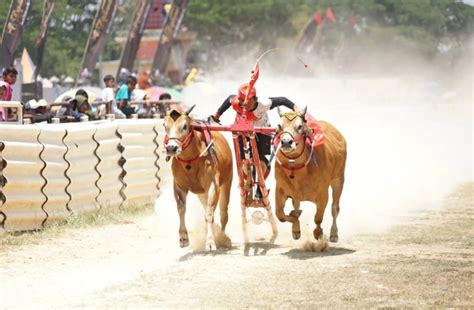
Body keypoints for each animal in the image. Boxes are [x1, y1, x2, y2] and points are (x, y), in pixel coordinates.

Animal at [163, 106, 233, 249]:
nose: (171, 148)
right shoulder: (179, 186)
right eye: (165, 126)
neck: (191, 160)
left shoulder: (213, 186)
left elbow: (210, 213)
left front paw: (210, 241)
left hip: (227, 182)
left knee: (223, 212)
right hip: (202, 193)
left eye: (185, 126)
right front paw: (183, 238)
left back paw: (223, 237)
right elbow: (181, 209)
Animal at [272, 108, 346, 242]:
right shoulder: (280, 189)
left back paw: (334, 234)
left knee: (335, 208)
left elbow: (318, 217)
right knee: (296, 205)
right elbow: (280, 214)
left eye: (299, 126)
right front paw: (295, 221)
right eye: (279, 125)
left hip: (339, 180)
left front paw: (318, 233)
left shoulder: (323, 194)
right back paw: (296, 227)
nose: (286, 142)